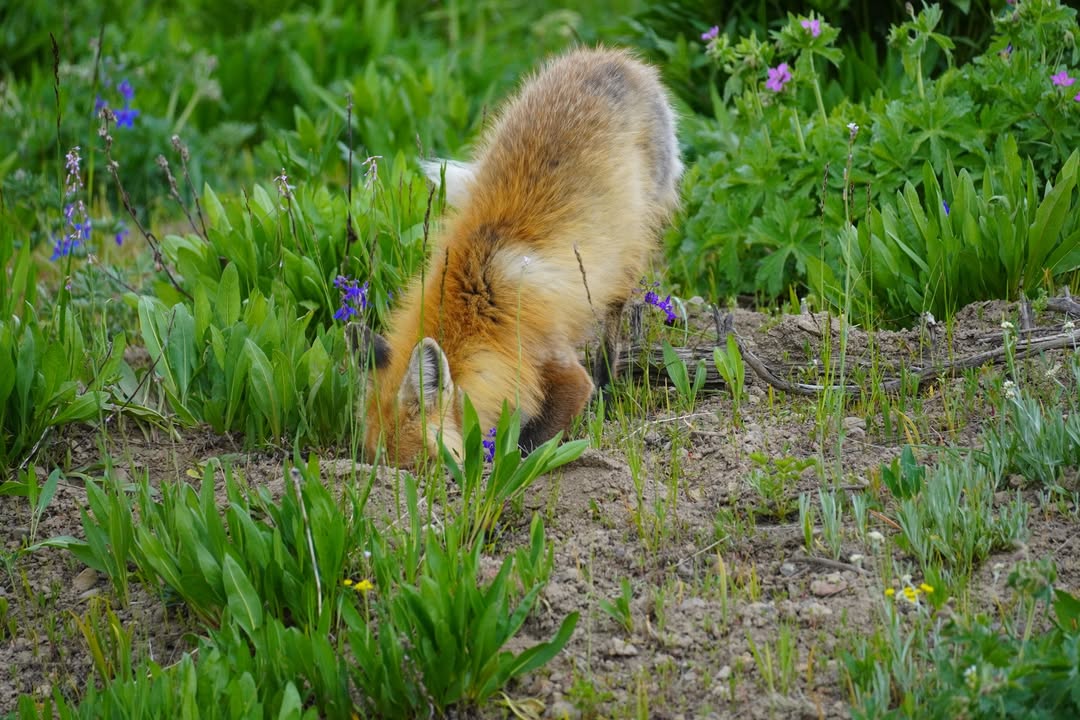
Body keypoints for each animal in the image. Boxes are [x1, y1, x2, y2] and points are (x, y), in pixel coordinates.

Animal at [357, 46, 682, 467]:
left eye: (423, 468)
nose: (388, 481)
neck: (480, 290)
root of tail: (615, 57)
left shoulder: (553, 363)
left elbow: (534, 442)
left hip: (628, 253)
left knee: (612, 328)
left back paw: (607, 391)